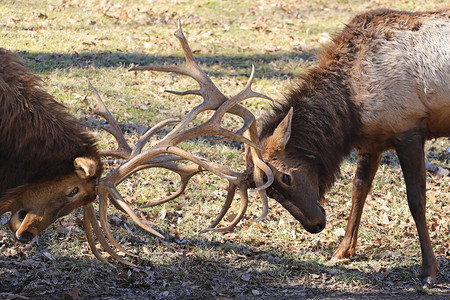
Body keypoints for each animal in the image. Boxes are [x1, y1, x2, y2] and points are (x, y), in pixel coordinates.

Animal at [256, 8, 450, 288]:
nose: (315, 225)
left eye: (286, 177)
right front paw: (342, 250)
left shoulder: (409, 130)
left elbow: (416, 201)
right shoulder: (372, 142)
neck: (349, 113)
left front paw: (428, 270)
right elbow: (359, 191)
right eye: (269, 193)